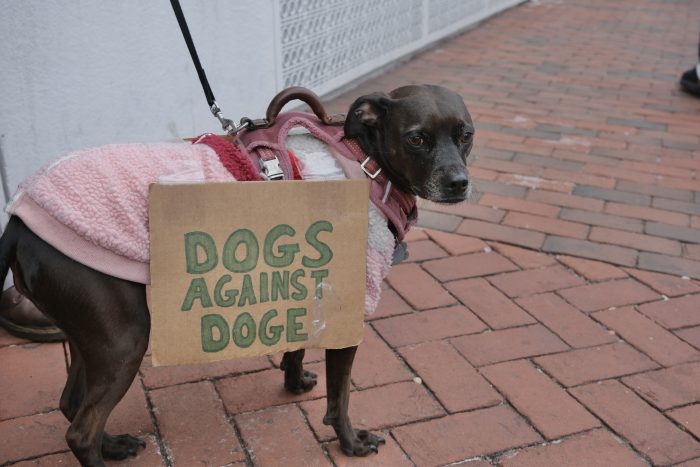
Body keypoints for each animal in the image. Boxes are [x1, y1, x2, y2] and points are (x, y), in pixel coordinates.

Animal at [0, 85, 476, 467]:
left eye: (466, 134)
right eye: (416, 138)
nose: (458, 183)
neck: (365, 161)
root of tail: (20, 219)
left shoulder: (302, 284)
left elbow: (295, 346)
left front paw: (293, 381)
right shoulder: (346, 309)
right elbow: (339, 397)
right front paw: (351, 442)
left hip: (91, 334)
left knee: (71, 404)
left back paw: (113, 444)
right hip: (123, 339)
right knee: (80, 431)